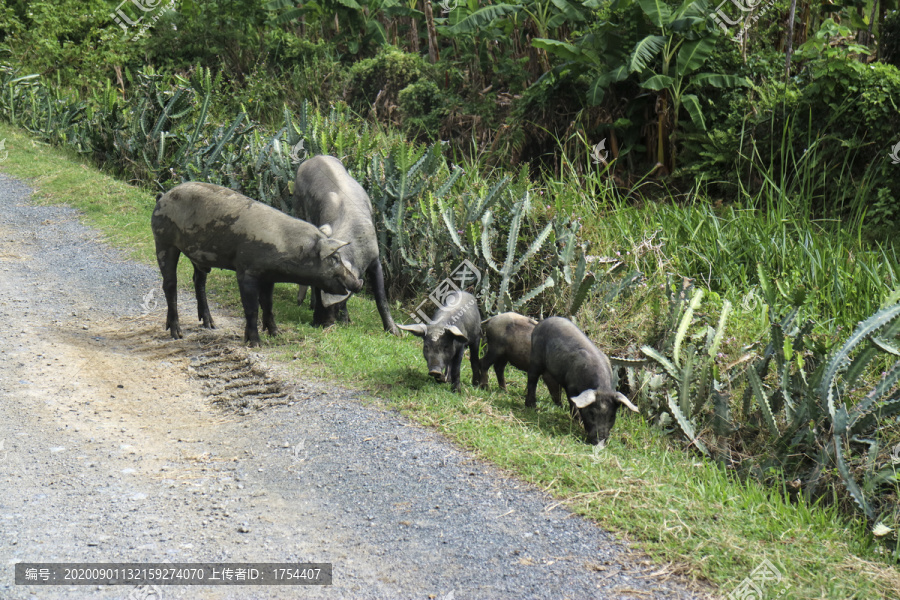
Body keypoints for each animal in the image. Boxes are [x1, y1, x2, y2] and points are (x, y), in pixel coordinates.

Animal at [153, 180, 364, 344]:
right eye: (334, 258)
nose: (358, 283)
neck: (287, 247)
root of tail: (163, 196)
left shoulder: (268, 277)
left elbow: (268, 305)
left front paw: (276, 334)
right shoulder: (246, 272)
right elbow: (252, 308)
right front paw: (255, 343)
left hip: (197, 255)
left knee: (199, 281)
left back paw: (210, 325)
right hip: (163, 240)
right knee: (169, 284)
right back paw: (177, 334)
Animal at [294, 155, 400, 336]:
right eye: (319, 289)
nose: (318, 324)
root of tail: (315, 158)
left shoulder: (375, 259)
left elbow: (381, 297)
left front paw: (395, 333)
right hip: (298, 206)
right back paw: (301, 303)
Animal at [528, 314, 640, 446]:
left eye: (612, 416)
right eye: (591, 413)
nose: (599, 440)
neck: (601, 388)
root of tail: (541, 322)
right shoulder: (571, 385)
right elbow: (573, 402)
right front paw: (577, 420)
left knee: (551, 383)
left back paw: (559, 405)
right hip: (536, 356)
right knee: (532, 377)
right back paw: (532, 407)